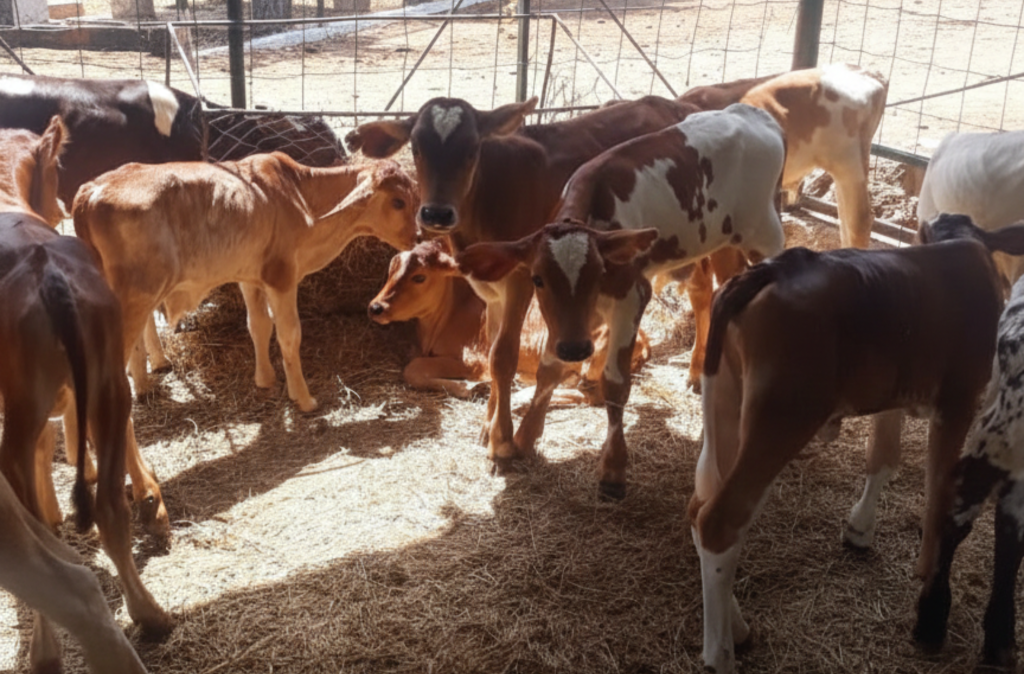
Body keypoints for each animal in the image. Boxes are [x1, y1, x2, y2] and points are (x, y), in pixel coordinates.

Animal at [0, 120, 172, 671]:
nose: (57, 204)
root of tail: (47, 272)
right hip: (107, 388)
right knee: (109, 510)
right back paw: (150, 614)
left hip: (21, 413)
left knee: (47, 549)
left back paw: (46, 648)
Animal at [73, 154, 418, 412]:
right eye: (398, 202)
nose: (417, 237)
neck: (300, 197)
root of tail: (91, 189)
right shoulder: (282, 278)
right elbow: (289, 335)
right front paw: (303, 398)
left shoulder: (251, 277)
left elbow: (259, 326)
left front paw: (265, 379)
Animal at [368, 237, 650, 400]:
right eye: (391, 270)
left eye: (420, 277)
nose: (376, 307)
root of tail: (644, 339)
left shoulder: (475, 360)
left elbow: (413, 369)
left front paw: (471, 387)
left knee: (586, 393)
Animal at [457, 104, 786, 495]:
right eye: (537, 279)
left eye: (598, 272)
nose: (575, 348)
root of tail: (751, 112)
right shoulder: (575, 321)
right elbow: (549, 368)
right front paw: (523, 438)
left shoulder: (632, 296)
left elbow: (614, 382)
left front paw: (613, 469)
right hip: (722, 242)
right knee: (718, 292)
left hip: (766, 234)